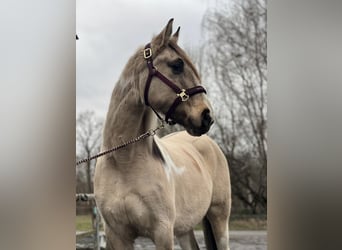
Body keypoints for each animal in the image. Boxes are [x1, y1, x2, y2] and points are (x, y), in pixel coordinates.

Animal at [95, 18, 231, 249]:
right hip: (185, 227)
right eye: (177, 65)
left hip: (219, 218)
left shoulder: (163, 233)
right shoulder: (117, 235)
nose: (207, 116)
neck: (124, 163)